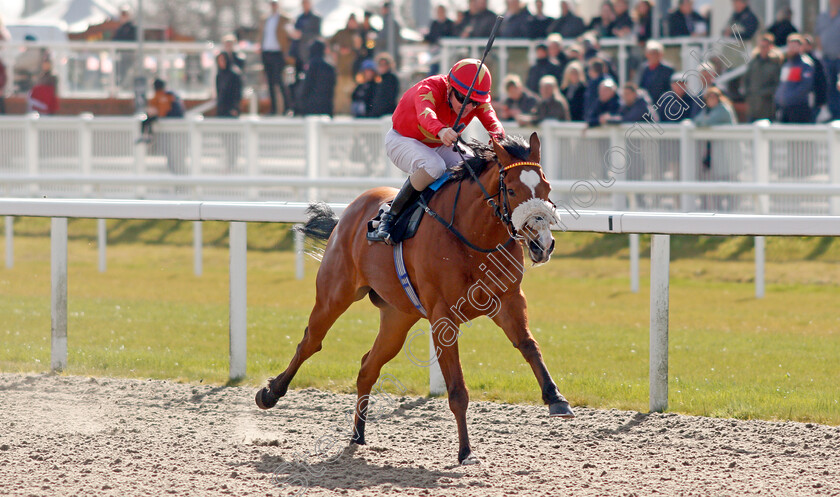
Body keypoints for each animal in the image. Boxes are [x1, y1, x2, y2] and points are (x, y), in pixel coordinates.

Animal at [253, 133, 576, 464]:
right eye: (511, 189)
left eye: (547, 188)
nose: (542, 244)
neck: (473, 237)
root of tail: (350, 211)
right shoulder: (443, 316)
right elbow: (457, 389)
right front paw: (465, 451)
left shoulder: (509, 300)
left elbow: (529, 345)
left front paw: (556, 398)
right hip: (334, 295)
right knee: (310, 342)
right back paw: (270, 393)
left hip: (397, 317)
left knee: (368, 366)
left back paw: (358, 434)